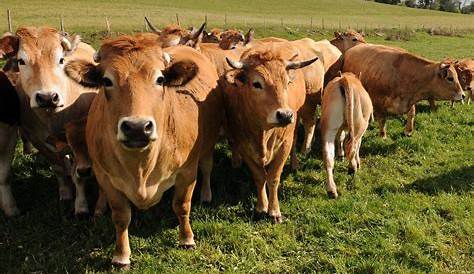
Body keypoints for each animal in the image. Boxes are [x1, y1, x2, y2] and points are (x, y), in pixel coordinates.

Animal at [0, 27, 97, 216]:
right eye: (21, 61)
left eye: (61, 60)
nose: (47, 97)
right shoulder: (39, 141)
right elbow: (58, 168)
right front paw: (65, 193)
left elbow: (78, 176)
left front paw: (81, 206)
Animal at [221, 42, 314, 223]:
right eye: (257, 84)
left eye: (287, 83)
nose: (285, 115)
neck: (263, 133)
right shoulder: (244, 146)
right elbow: (259, 177)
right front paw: (261, 207)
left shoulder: (284, 145)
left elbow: (273, 178)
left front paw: (274, 211)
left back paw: (294, 164)